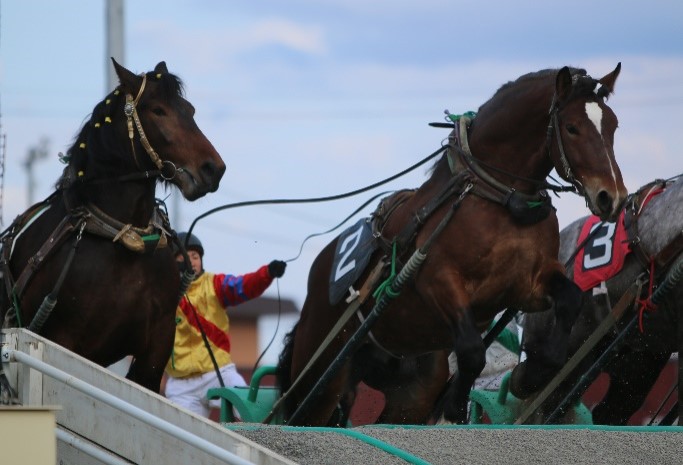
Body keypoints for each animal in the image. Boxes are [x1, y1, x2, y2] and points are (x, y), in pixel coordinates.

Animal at [0, 57, 224, 392]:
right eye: (158, 110)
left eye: (190, 110)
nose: (213, 169)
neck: (120, 238)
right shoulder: (64, 339)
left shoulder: (155, 350)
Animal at [276, 64, 624, 424]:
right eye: (572, 128)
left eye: (612, 125)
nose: (611, 196)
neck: (498, 197)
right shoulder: (438, 280)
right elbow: (471, 351)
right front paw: (457, 405)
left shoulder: (529, 286)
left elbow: (570, 299)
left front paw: (532, 376)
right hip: (320, 379)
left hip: (410, 388)